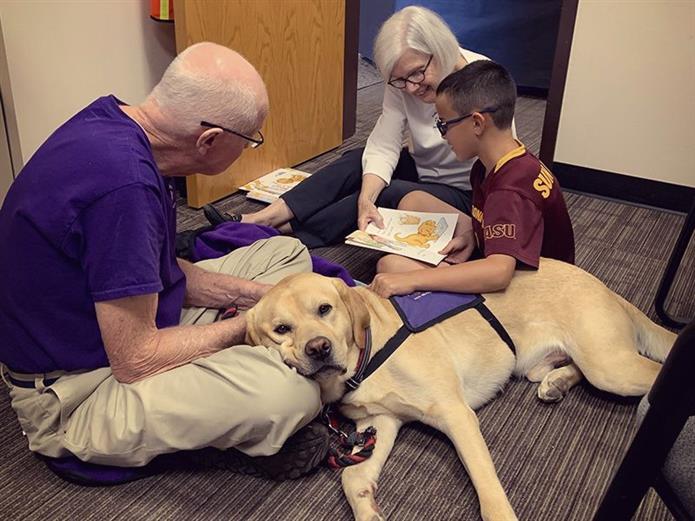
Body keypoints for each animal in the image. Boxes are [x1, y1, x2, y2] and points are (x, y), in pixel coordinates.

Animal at [245, 258, 676, 520]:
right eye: (281, 329)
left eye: (324, 309)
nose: (318, 348)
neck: (365, 356)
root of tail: (603, 286)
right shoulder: (381, 422)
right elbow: (353, 480)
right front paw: (369, 511)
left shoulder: (457, 415)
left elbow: (487, 490)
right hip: (548, 364)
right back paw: (557, 383)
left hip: (609, 365)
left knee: (655, 373)